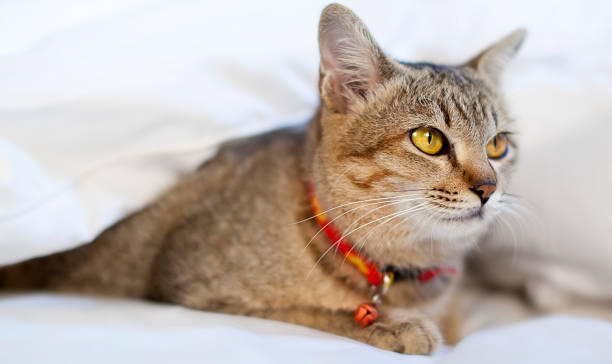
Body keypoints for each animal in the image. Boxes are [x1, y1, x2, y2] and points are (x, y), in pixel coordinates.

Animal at [0, 3, 524, 356]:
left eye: (499, 145)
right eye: (428, 140)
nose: (488, 188)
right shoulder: (189, 285)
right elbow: (313, 314)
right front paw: (393, 326)